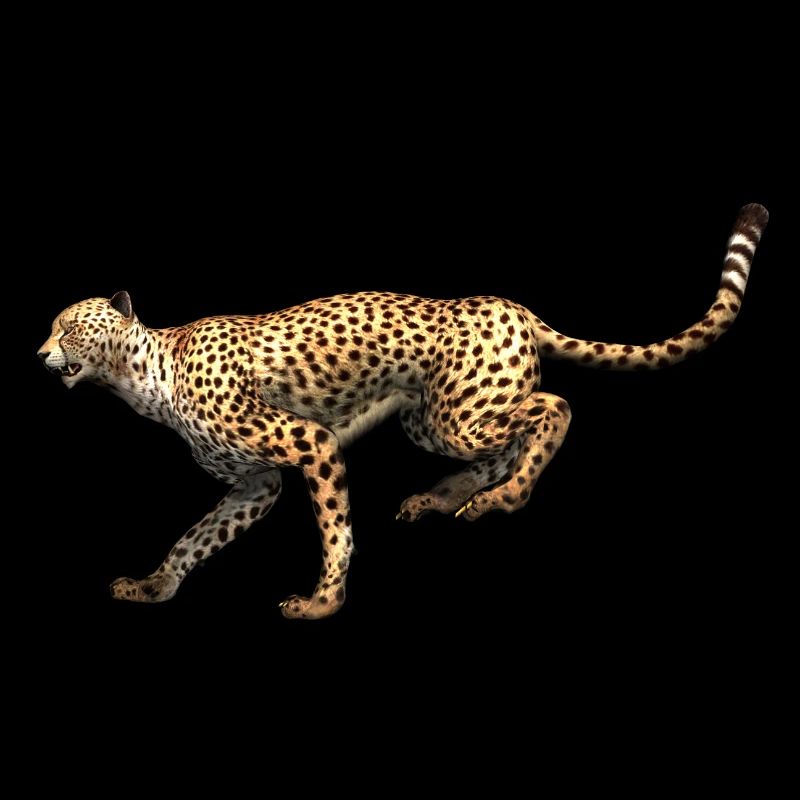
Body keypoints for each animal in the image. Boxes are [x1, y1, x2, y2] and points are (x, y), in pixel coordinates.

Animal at [38, 204, 768, 619]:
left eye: (69, 327)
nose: (40, 354)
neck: (141, 377)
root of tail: (509, 303)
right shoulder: (256, 483)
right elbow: (194, 538)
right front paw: (155, 585)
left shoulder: (308, 443)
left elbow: (335, 528)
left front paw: (323, 602)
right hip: (431, 418)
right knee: (511, 438)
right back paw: (448, 497)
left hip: (458, 415)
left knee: (553, 406)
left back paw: (502, 500)